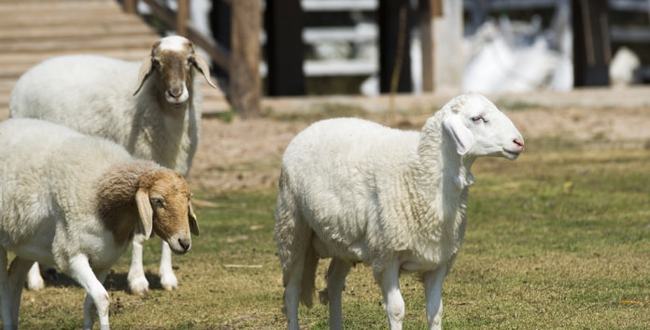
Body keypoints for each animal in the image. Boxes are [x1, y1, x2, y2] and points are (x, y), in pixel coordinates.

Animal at [0, 118, 199, 330]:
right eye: (158, 200)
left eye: (187, 199)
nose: (184, 243)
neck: (101, 195)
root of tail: (7, 124)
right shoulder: (71, 255)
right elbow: (102, 298)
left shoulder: (104, 259)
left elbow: (90, 303)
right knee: (4, 285)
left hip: (29, 243)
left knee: (15, 277)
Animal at [8, 35, 215, 294]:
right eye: (157, 63)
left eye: (189, 61)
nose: (175, 93)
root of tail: (29, 73)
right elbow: (139, 235)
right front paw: (138, 281)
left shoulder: (171, 173)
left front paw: (167, 278)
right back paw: (35, 280)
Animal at [274, 93, 520, 330]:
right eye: (477, 118)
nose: (519, 141)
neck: (421, 173)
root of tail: (311, 127)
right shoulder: (388, 255)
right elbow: (396, 310)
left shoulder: (438, 259)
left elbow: (435, 311)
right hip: (292, 227)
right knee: (292, 291)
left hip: (342, 238)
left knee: (333, 282)